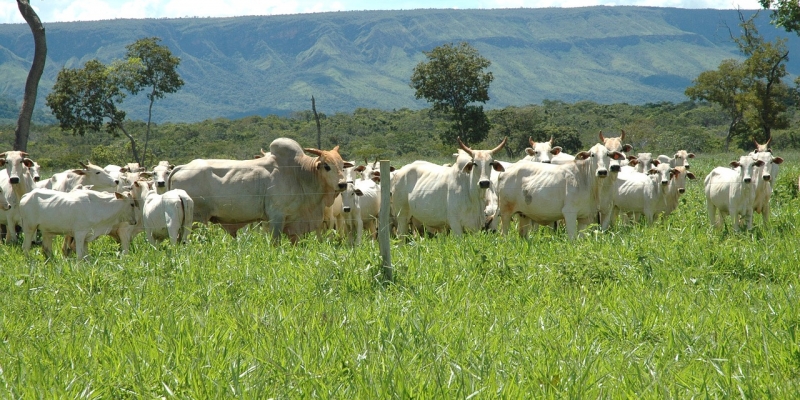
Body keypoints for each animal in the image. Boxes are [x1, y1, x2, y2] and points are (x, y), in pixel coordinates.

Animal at [167, 138, 352, 244]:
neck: (300, 173)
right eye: (326, 166)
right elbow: (275, 243)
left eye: (342, 165)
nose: (343, 184)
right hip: (194, 220)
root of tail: (181, 167)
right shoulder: (276, 217)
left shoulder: (294, 225)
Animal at [494, 142, 624, 239]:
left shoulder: (585, 217)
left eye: (607, 154)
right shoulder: (569, 213)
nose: (602, 172)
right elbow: (572, 238)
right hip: (505, 212)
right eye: (592, 155)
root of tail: (506, 170)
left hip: (523, 214)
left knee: (523, 234)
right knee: (504, 233)